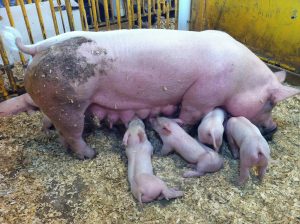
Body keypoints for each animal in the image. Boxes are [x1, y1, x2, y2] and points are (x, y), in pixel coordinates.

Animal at [0, 26, 300, 159]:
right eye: (270, 103)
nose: (273, 129)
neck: (241, 79)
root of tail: (37, 48)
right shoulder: (201, 94)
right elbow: (190, 113)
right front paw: (172, 121)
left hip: (60, 103)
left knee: (65, 132)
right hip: (66, 101)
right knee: (73, 133)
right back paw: (90, 154)